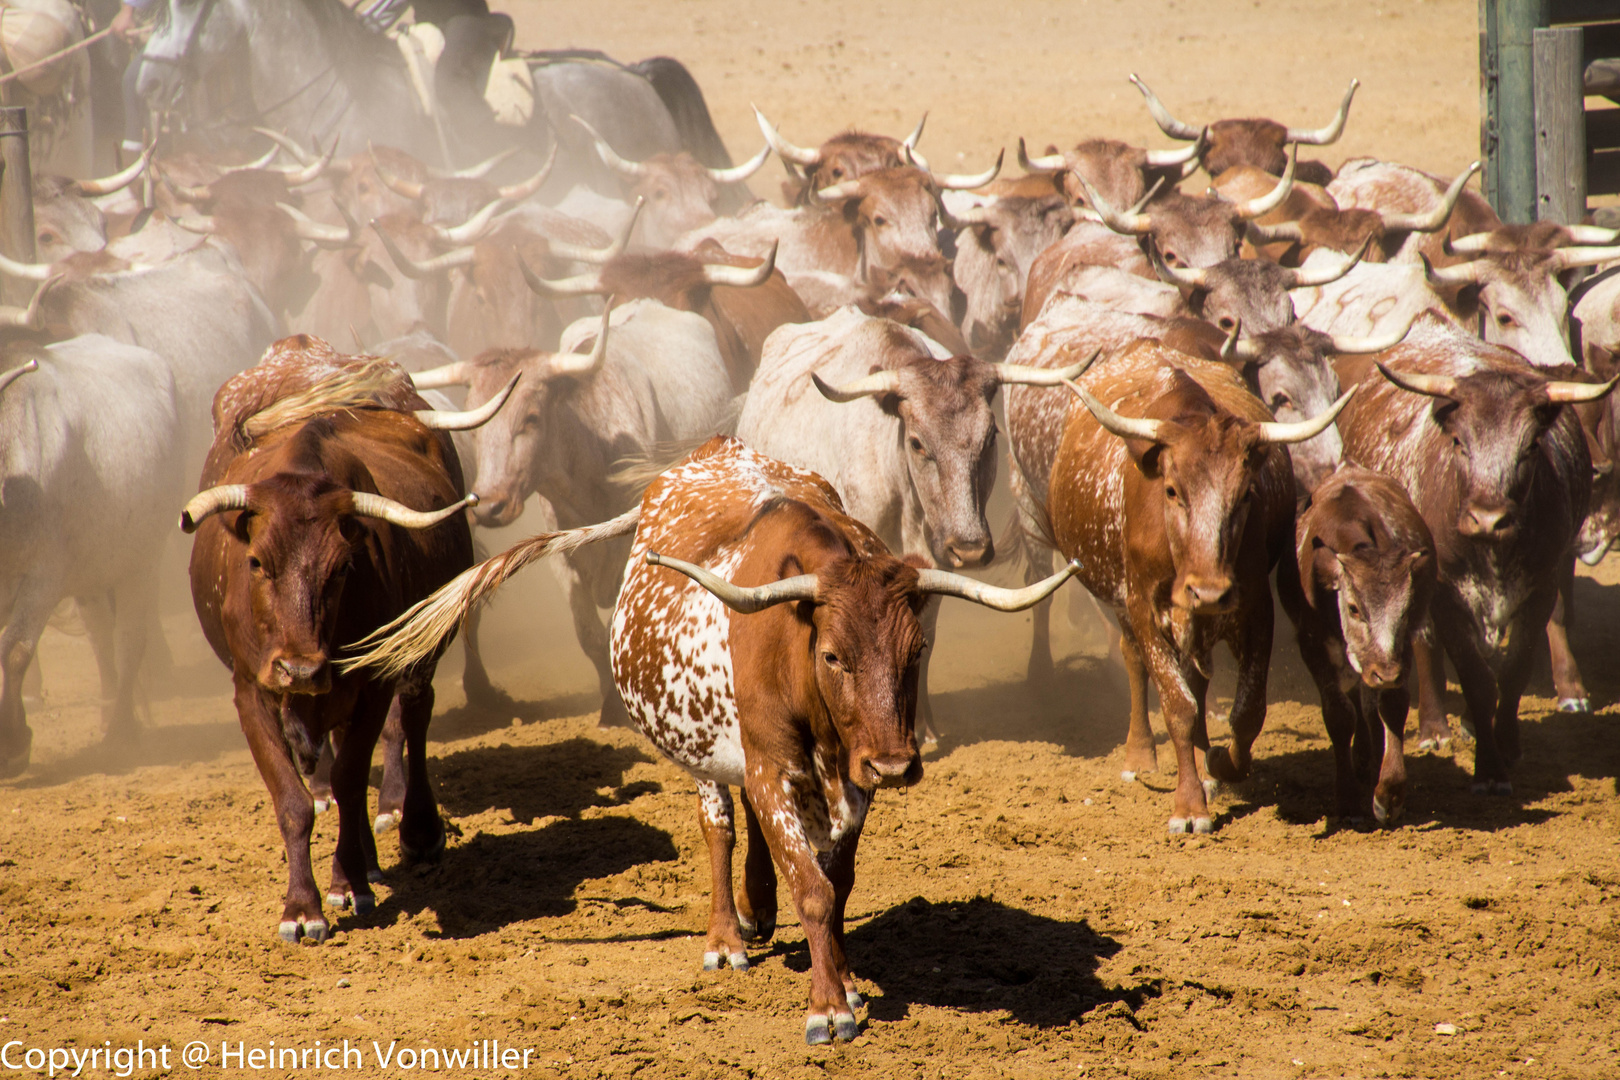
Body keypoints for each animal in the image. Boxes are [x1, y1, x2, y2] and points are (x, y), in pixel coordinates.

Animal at [345, 440, 1075, 1049]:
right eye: (833, 656)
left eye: (917, 650)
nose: (896, 764)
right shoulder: (773, 767)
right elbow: (811, 887)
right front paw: (828, 1006)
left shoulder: (849, 782)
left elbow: (835, 883)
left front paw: (844, 977)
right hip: (697, 748)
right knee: (719, 825)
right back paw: (728, 936)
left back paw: (757, 910)